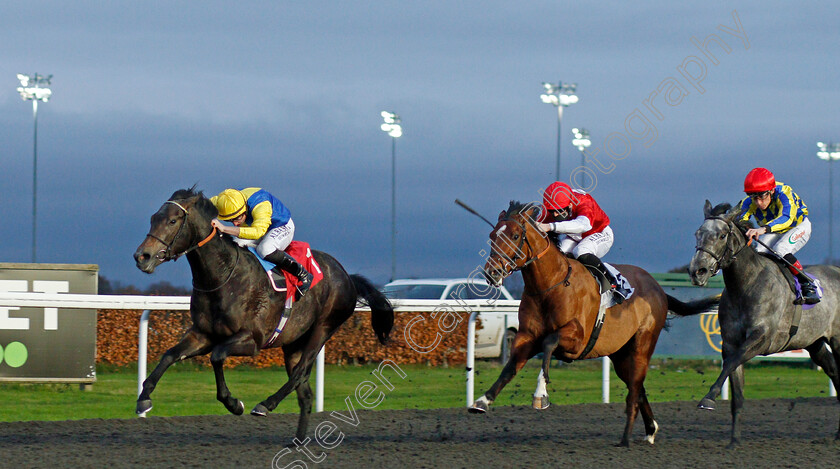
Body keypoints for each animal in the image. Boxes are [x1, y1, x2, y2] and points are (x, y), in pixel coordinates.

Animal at [133, 187, 396, 438]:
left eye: (173, 221)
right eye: (153, 218)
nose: (141, 256)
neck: (223, 276)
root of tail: (347, 276)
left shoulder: (252, 340)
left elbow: (217, 356)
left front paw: (234, 403)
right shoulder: (202, 335)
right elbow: (169, 355)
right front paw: (143, 399)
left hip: (323, 328)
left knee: (299, 373)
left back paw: (266, 404)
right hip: (294, 343)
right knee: (305, 392)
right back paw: (297, 442)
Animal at [466, 199, 716, 444]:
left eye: (516, 235)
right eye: (492, 235)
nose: (492, 273)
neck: (552, 284)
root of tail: (659, 289)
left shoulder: (576, 339)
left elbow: (549, 342)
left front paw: (540, 395)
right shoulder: (527, 336)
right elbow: (510, 366)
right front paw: (482, 400)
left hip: (642, 346)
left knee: (634, 390)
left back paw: (626, 439)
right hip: (621, 354)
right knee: (637, 387)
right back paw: (650, 429)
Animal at [684, 199, 840, 444]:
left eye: (721, 236)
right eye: (697, 234)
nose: (696, 271)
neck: (745, 285)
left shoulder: (762, 338)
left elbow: (731, 363)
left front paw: (708, 398)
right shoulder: (730, 343)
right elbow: (736, 388)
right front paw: (734, 441)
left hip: (837, 339)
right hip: (814, 342)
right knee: (835, 373)